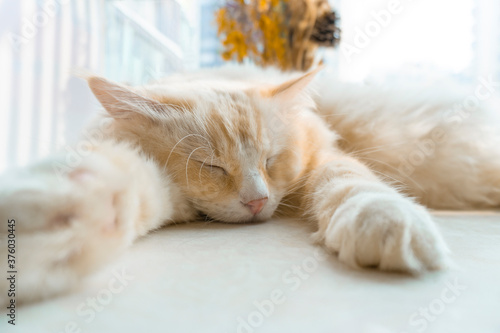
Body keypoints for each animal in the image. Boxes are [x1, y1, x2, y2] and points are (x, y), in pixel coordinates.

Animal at [0, 65, 500, 306]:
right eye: (212, 167)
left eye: (270, 160)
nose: (258, 201)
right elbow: (112, 187)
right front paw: (53, 226)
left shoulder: (324, 158)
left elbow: (350, 182)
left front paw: (384, 219)